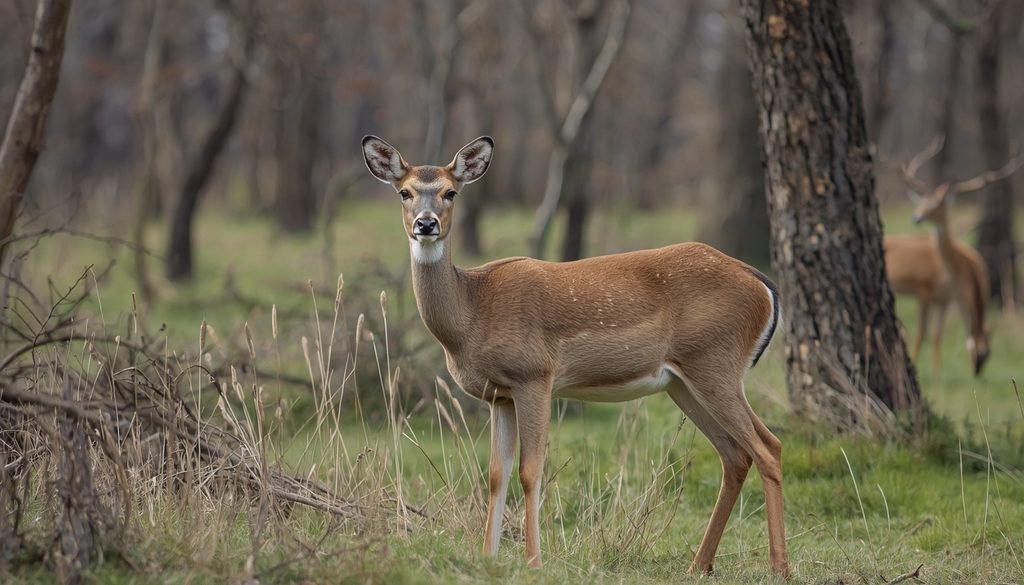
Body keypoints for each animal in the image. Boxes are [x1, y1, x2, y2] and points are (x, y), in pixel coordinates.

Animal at [361, 135, 789, 577]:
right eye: (404, 192)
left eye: (451, 192)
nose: (425, 224)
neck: (472, 313)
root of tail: (762, 285)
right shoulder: (499, 396)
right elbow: (496, 474)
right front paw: (488, 557)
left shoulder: (534, 375)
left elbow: (530, 471)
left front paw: (533, 561)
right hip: (683, 382)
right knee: (736, 455)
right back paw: (699, 565)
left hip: (716, 364)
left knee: (768, 447)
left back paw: (779, 567)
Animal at [883, 137, 1021, 376]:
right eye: (922, 202)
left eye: (987, 353)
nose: (916, 217)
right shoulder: (923, 292)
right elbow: (921, 334)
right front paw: (919, 366)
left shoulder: (945, 301)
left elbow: (936, 336)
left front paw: (937, 376)